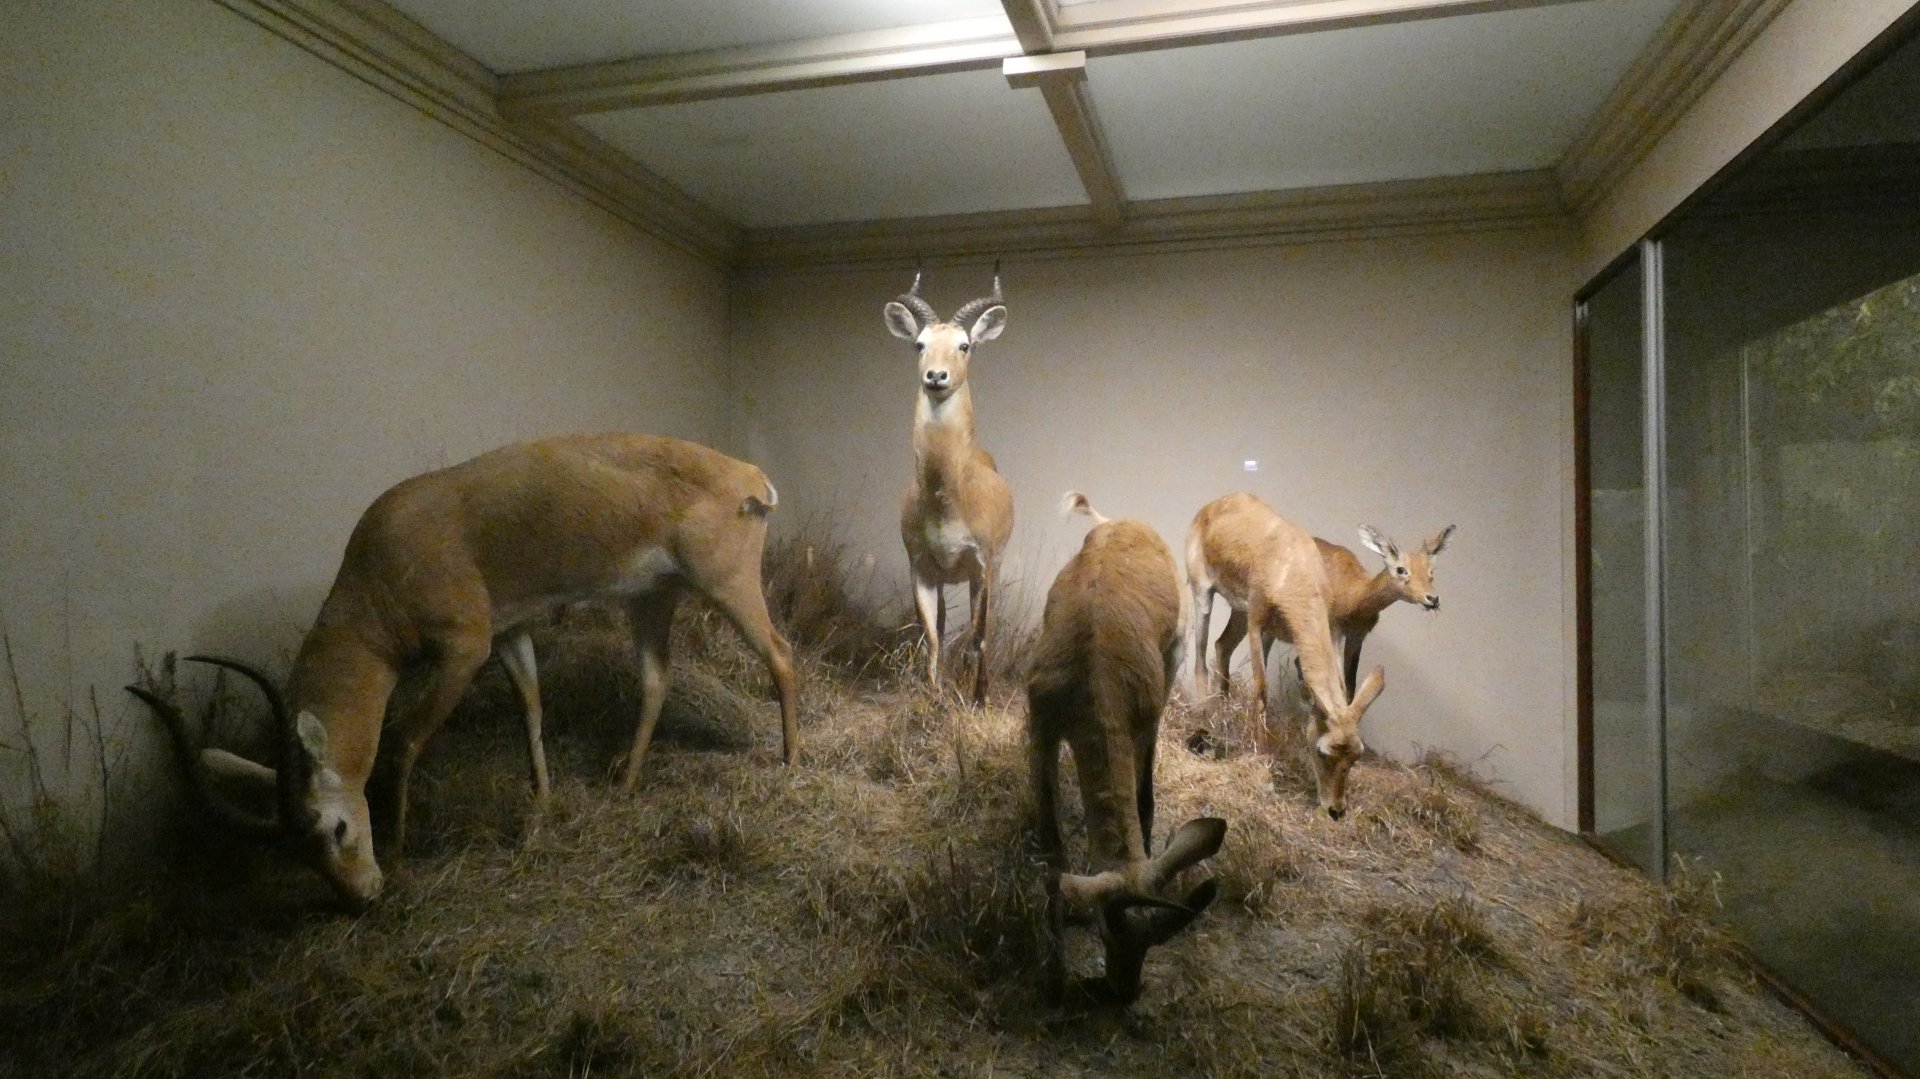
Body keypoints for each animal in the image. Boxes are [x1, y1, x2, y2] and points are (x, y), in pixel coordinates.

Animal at [126, 434, 798, 909]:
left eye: (336, 829)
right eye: (299, 856)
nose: (359, 900)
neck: (385, 567)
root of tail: (750, 478)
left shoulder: (463, 650)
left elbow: (404, 740)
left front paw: (399, 845)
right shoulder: (507, 633)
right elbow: (531, 708)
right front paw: (542, 802)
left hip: (727, 585)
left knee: (782, 655)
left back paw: (791, 759)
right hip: (652, 599)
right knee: (657, 680)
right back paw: (626, 783)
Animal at [885, 266, 1015, 706]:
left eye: (964, 345)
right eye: (920, 344)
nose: (936, 376)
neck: (949, 499)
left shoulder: (983, 565)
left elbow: (980, 636)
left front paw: (979, 700)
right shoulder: (921, 568)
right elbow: (932, 635)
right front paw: (933, 697)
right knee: (942, 625)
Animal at [1029, 491, 1227, 1005]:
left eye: (1152, 942)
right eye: (1109, 930)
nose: (1125, 990)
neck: (1093, 678)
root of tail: (1120, 520)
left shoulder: (1143, 722)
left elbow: (1144, 797)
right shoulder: (1040, 727)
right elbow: (1053, 855)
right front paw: (1053, 975)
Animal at [1186, 492, 1387, 819]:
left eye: (1356, 756)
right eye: (1323, 751)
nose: (1336, 810)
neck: (1293, 571)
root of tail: (1215, 505)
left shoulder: (1286, 630)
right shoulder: (1257, 621)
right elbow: (1261, 691)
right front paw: (1264, 766)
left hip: (1238, 612)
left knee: (1221, 645)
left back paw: (1224, 712)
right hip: (1204, 594)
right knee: (1200, 655)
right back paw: (1203, 715)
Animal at [1208, 523, 1455, 700]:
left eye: (1431, 571)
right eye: (1401, 569)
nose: (1432, 599)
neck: (1354, 592)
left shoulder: (1356, 636)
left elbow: (1351, 686)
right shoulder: (1332, 632)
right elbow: (1338, 684)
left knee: (1224, 645)